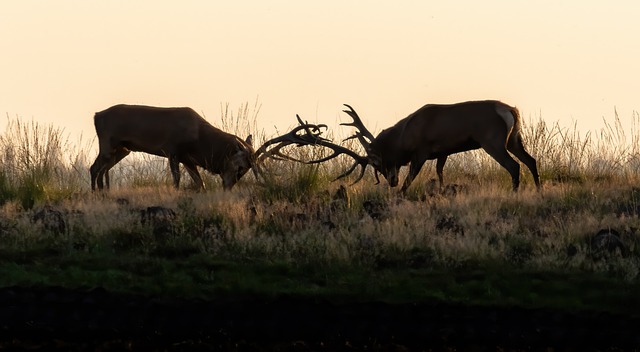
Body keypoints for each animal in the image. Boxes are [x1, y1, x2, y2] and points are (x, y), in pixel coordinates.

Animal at [90, 104, 328, 191]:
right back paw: (96, 192)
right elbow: (176, 180)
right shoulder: (173, 150)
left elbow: (200, 183)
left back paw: (103, 191)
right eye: (241, 167)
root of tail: (96, 115)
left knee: (101, 169)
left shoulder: (188, 159)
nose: (229, 186)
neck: (199, 139)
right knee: (94, 168)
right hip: (108, 142)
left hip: (123, 149)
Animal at [280, 99, 540, 192]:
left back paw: (515, 192)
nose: (391, 182)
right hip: (514, 138)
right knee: (531, 160)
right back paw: (538, 191)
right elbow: (440, 173)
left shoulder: (422, 151)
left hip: (492, 140)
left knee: (514, 166)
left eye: (379, 164)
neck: (404, 138)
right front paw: (442, 191)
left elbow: (410, 180)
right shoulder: (443, 151)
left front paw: (401, 193)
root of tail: (511, 111)